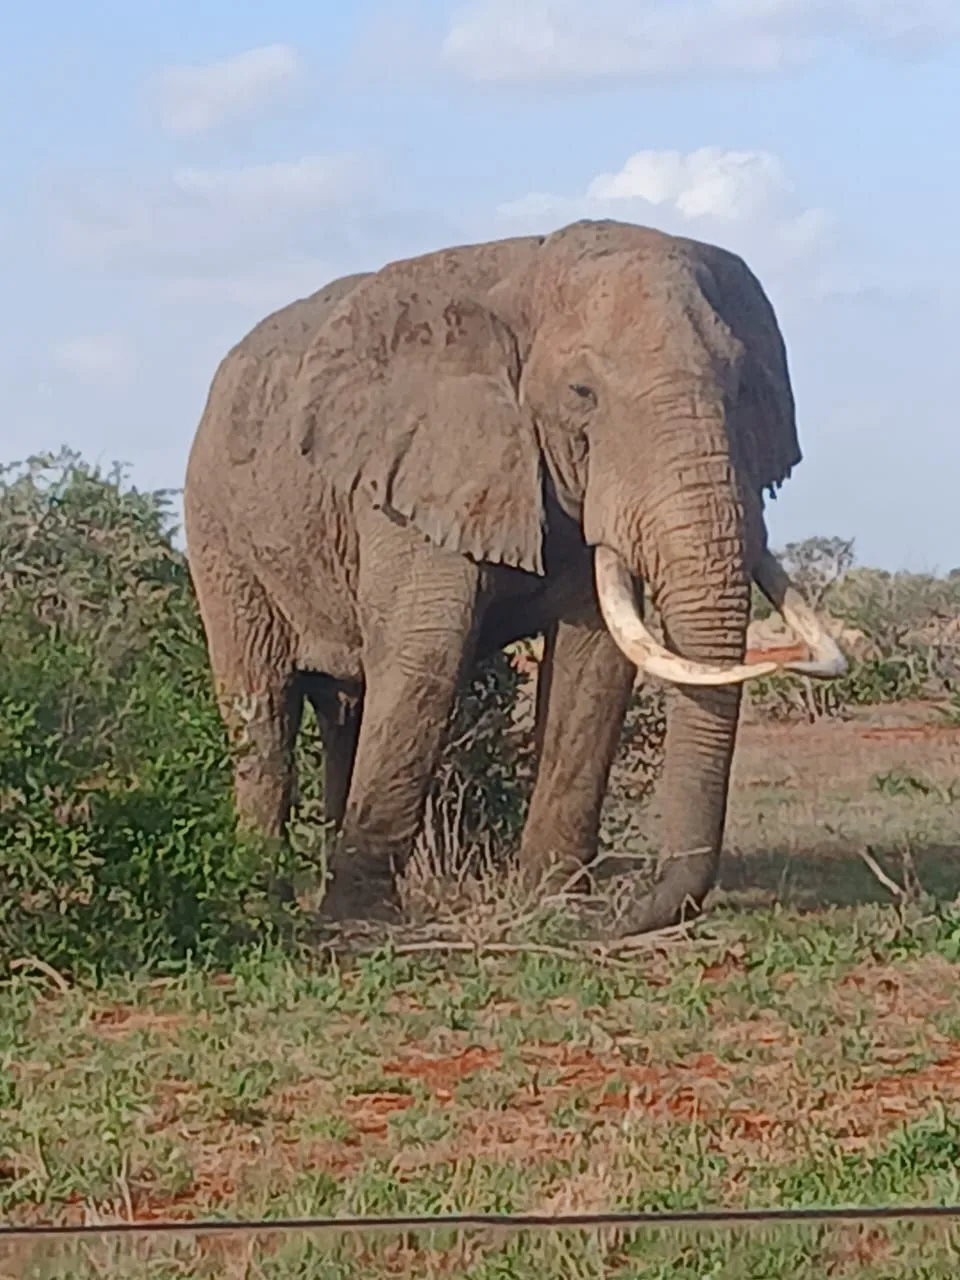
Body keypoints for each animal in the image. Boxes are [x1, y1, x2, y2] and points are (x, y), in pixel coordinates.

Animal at [183, 218, 846, 933]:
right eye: (582, 395)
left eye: (745, 389)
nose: (630, 908)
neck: (530, 275)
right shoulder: (414, 473)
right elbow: (425, 657)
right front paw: (362, 926)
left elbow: (593, 669)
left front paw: (557, 902)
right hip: (219, 537)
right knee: (263, 712)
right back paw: (262, 900)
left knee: (343, 714)